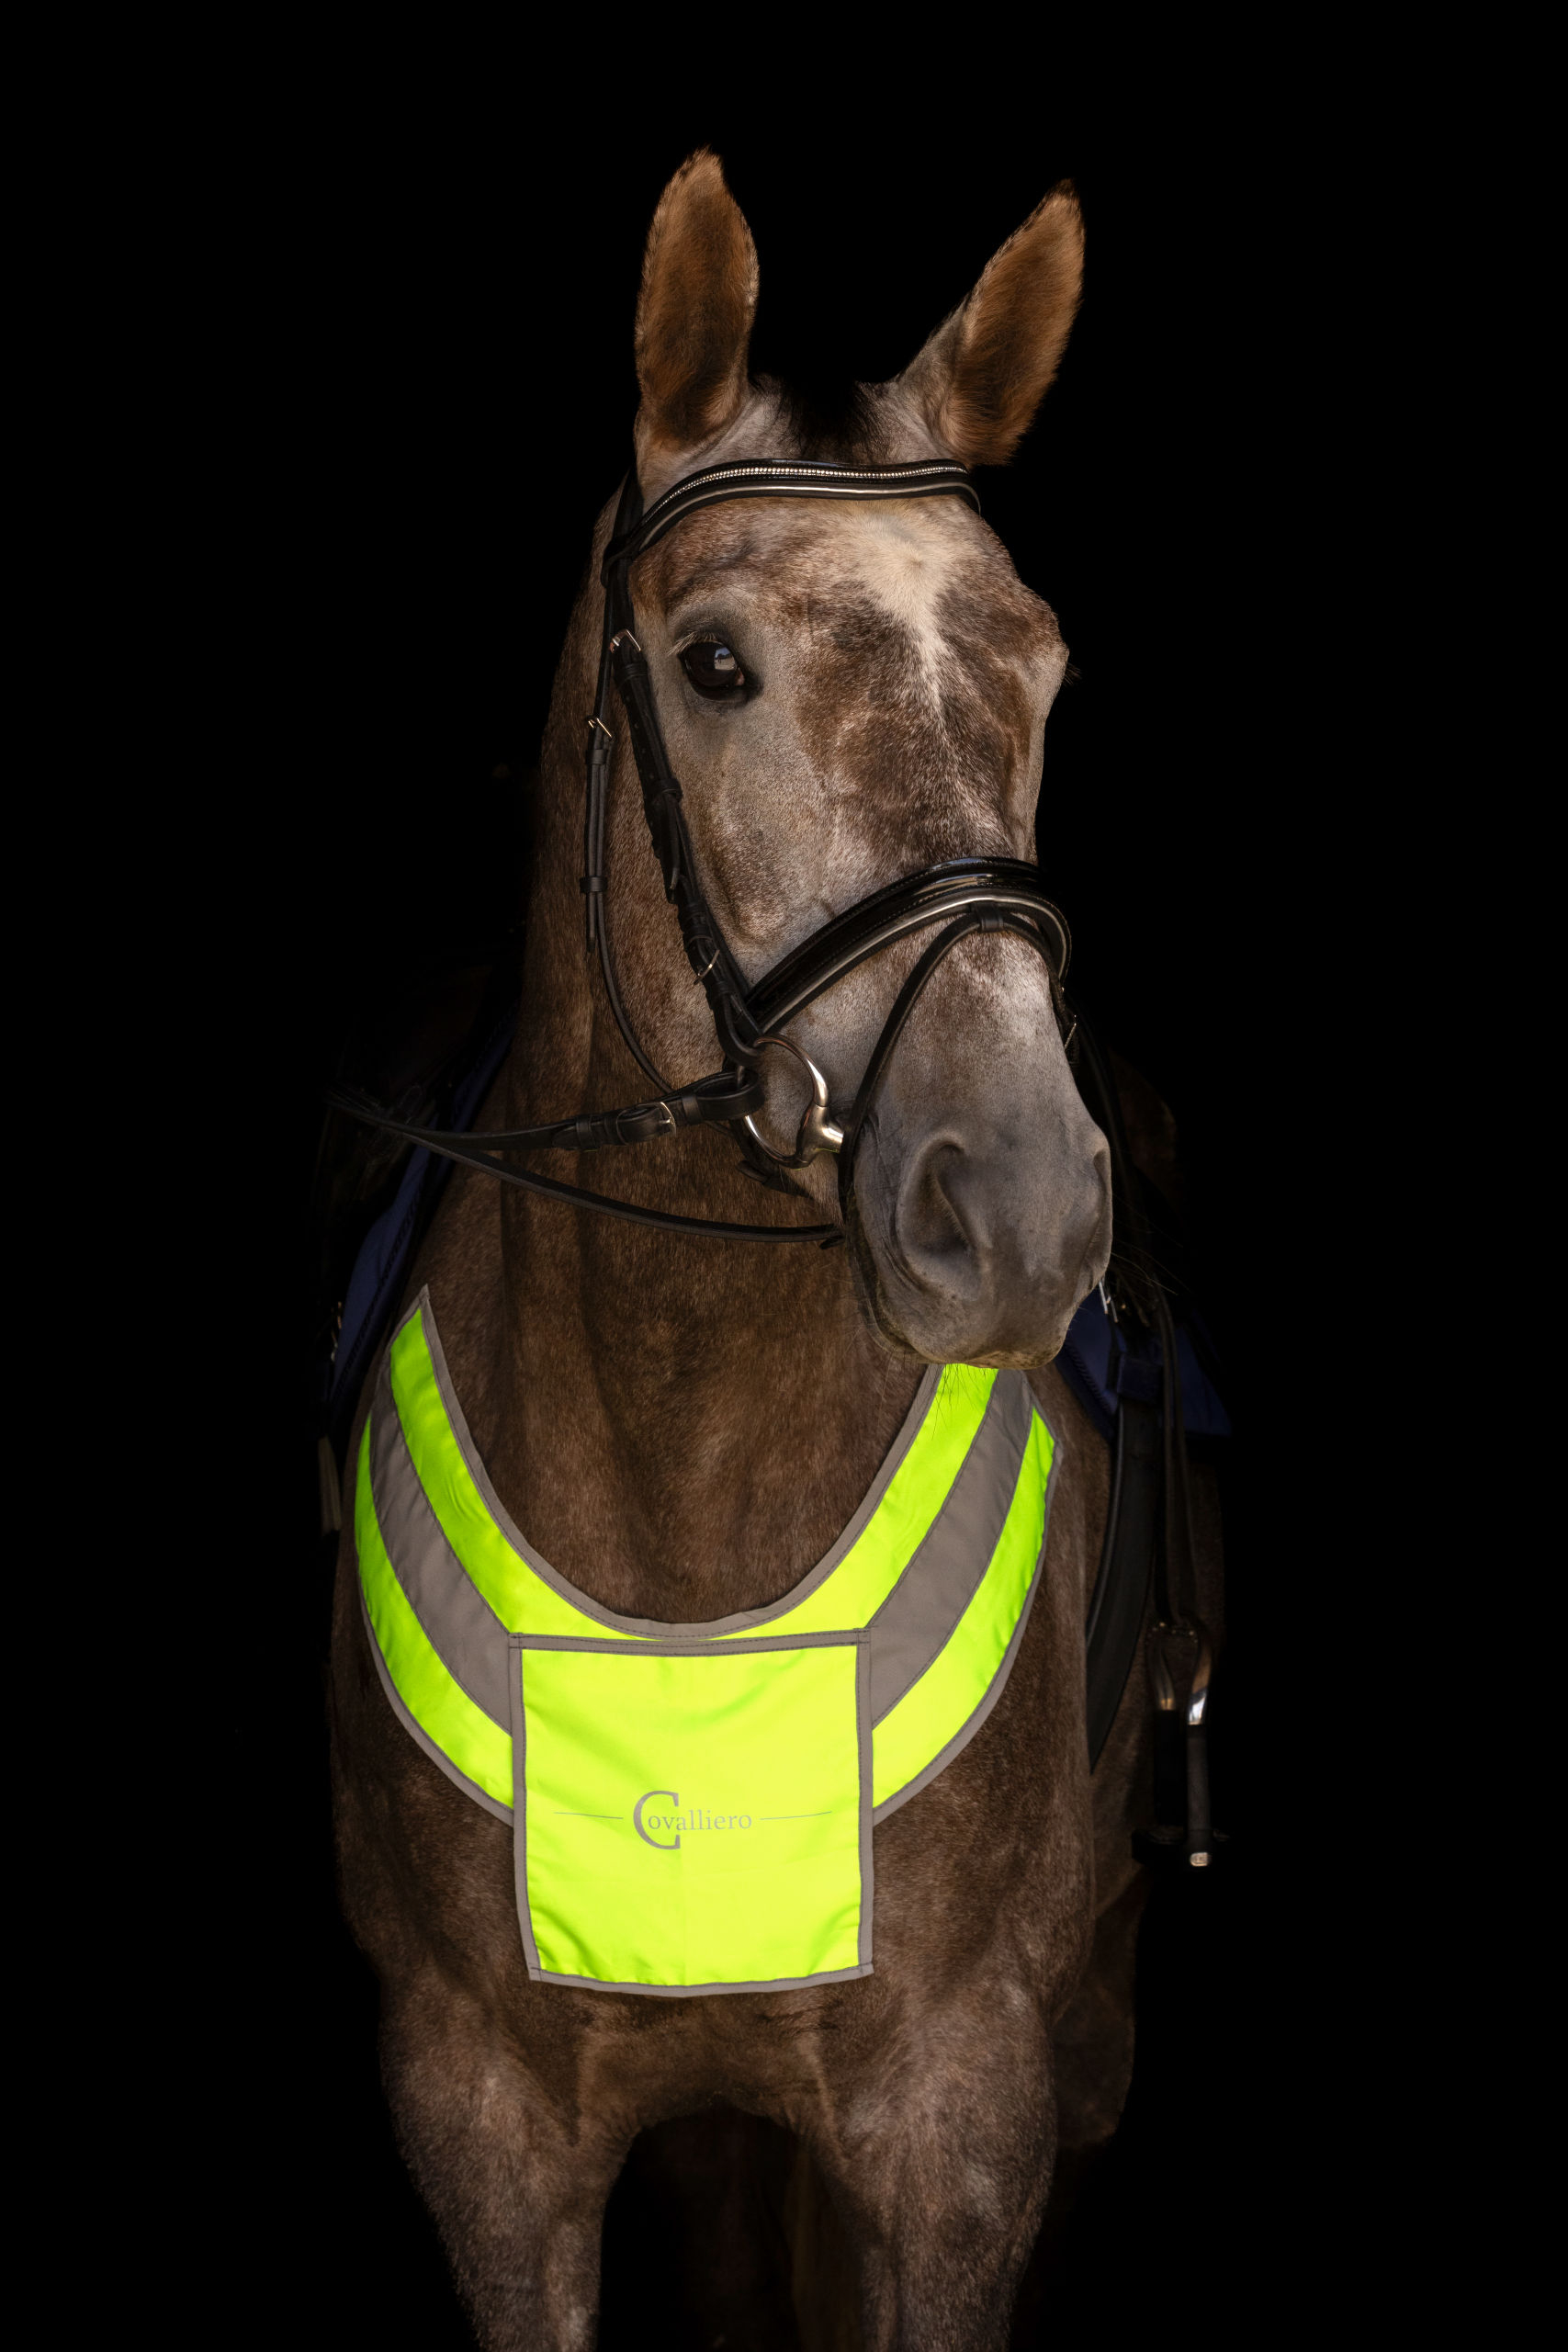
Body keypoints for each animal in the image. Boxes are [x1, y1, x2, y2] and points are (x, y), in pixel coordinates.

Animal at [329, 152, 1213, 2352]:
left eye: (1041, 664)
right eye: (716, 664)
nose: (1016, 1200)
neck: (688, 1492)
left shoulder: (964, 2117)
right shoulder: (485, 2120)